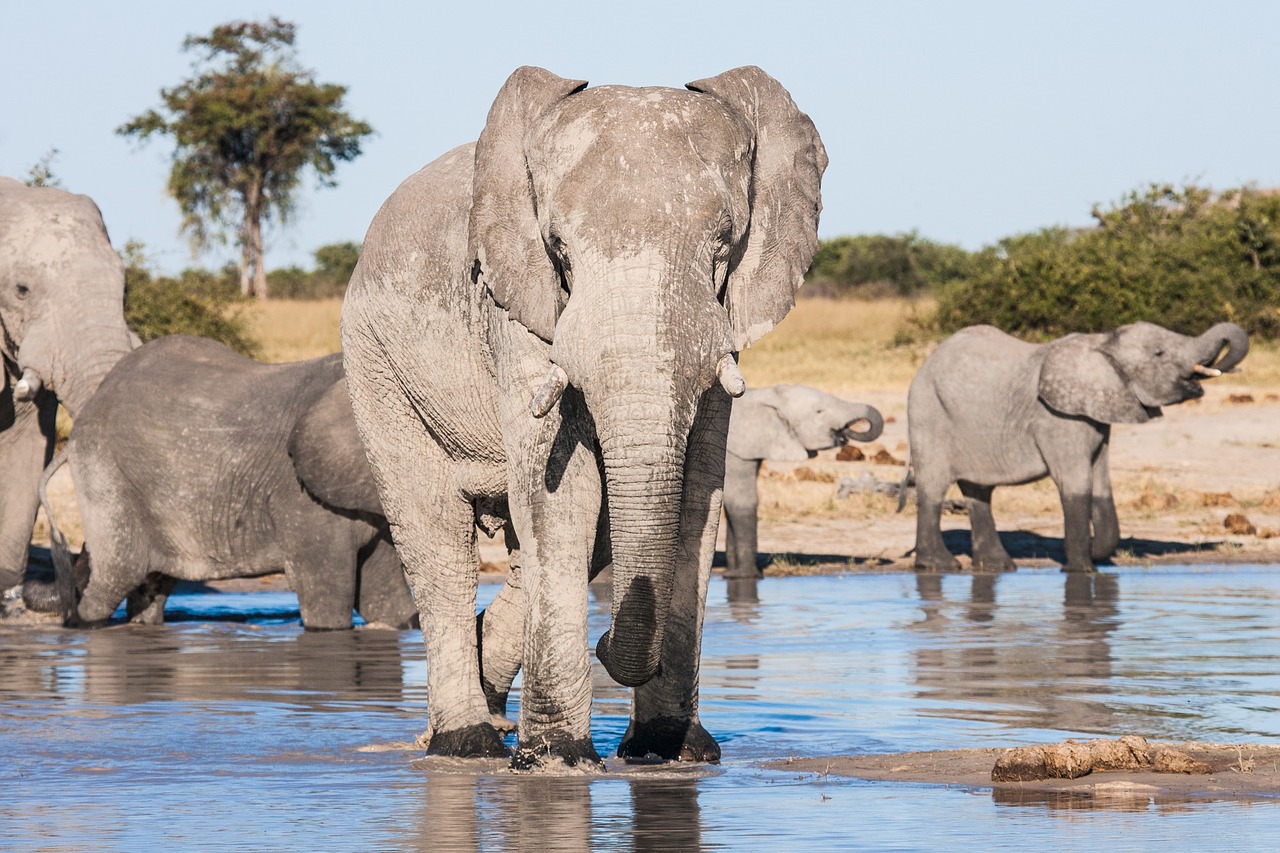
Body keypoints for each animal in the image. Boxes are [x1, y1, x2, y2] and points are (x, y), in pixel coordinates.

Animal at [47, 334, 418, 629]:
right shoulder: (300, 500)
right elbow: (328, 603)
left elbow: (385, 602)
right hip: (104, 471)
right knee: (114, 578)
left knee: (152, 587)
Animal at [341, 65, 825, 768]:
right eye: (560, 253)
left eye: (722, 250)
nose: (604, 643)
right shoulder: (520, 310)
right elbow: (562, 493)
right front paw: (557, 759)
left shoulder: (721, 326)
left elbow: (696, 495)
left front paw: (669, 751)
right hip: (375, 362)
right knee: (433, 532)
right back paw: (466, 743)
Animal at [722, 384, 883, 578]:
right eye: (819, 411)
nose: (843, 434)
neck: (765, 395)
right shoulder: (734, 453)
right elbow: (742, 501)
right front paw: (746, 576)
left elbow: (729, 506)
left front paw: (731, 574)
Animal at [907, 321, 1249, 572]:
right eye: (1159, 354)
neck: (1102, 343)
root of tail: (926, 362)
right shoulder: (1057, 418)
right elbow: (1075, 483)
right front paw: (1083, 570)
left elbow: (1101, 481)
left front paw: (1097, 553)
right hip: (928, 414)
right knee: (933, 487)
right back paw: (939, 566)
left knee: (978, 491)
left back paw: (998, 567)